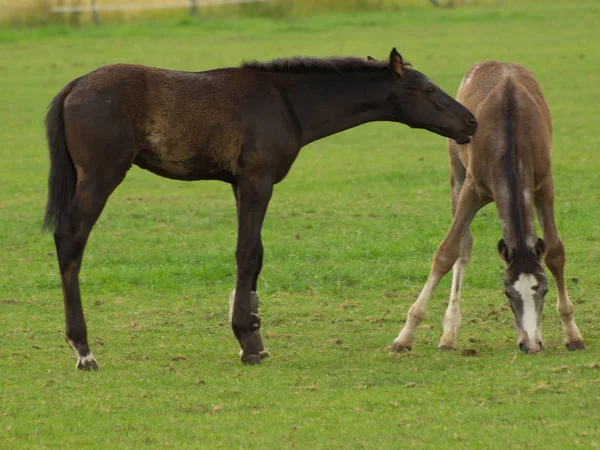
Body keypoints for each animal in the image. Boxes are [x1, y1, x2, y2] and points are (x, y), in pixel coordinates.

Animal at [43, 48, 478, 370]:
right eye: (428, 88)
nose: (471, 121)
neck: (287, 103)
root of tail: (73, 87)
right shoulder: (257, 181)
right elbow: (248, 253)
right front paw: (247, 341)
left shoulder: (240, 185)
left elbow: (257, 256)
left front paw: (253, 336)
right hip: (102, 176)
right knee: (70, 240)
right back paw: (84, 350)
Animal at [392, 60, 584, 356]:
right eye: (507, 292)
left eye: (543, 290)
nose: (531, 345)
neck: (511, 136)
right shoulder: (473, 189)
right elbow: (447, 252)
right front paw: (405, 336)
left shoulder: (545, 186)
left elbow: (554, 251)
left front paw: (572, 334)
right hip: (456, 170)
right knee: (464, 244)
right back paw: (448, 334)